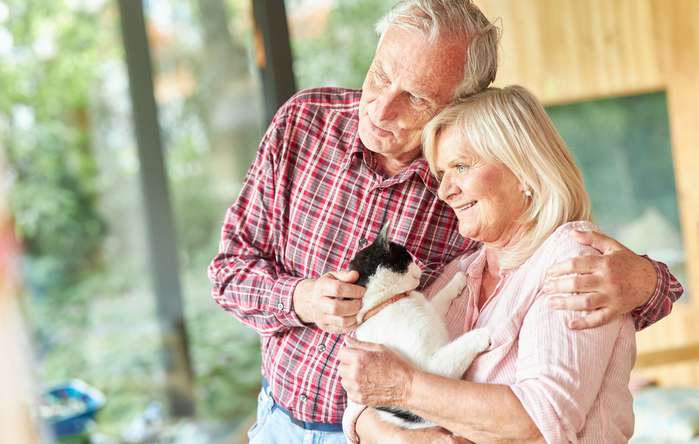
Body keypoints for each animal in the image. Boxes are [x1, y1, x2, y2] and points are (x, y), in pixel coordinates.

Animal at [348, 225, 490, 430]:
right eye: (408, 258)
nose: (420, 266)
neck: (389, 301)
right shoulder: (433, 367)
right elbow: (458, 348)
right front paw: (484, 333)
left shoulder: (432, 310)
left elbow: (441, 296)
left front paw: (458, 279)